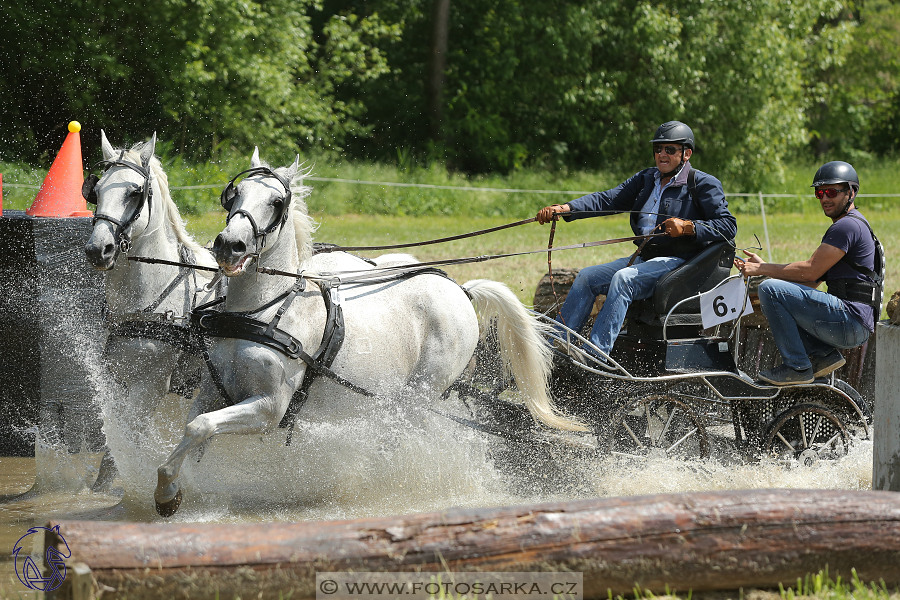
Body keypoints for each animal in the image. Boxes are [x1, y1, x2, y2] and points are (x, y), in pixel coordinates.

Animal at [84, 134, 221, 490]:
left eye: (134, 192)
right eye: (95, 190)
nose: (98, 249)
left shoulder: (150, 386)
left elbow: (127, 442)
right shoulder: (118, 379)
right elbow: (111, 453)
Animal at [151, 149, 588, 516]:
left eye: (276, 203)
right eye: (234, 194)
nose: (230, 245)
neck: (264, 310)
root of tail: (461, 290)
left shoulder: (269, 408)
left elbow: (200, 426)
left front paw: (165, 493)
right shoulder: (214, 390)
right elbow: (197, 429)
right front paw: (175, 488)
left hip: (416, 397)